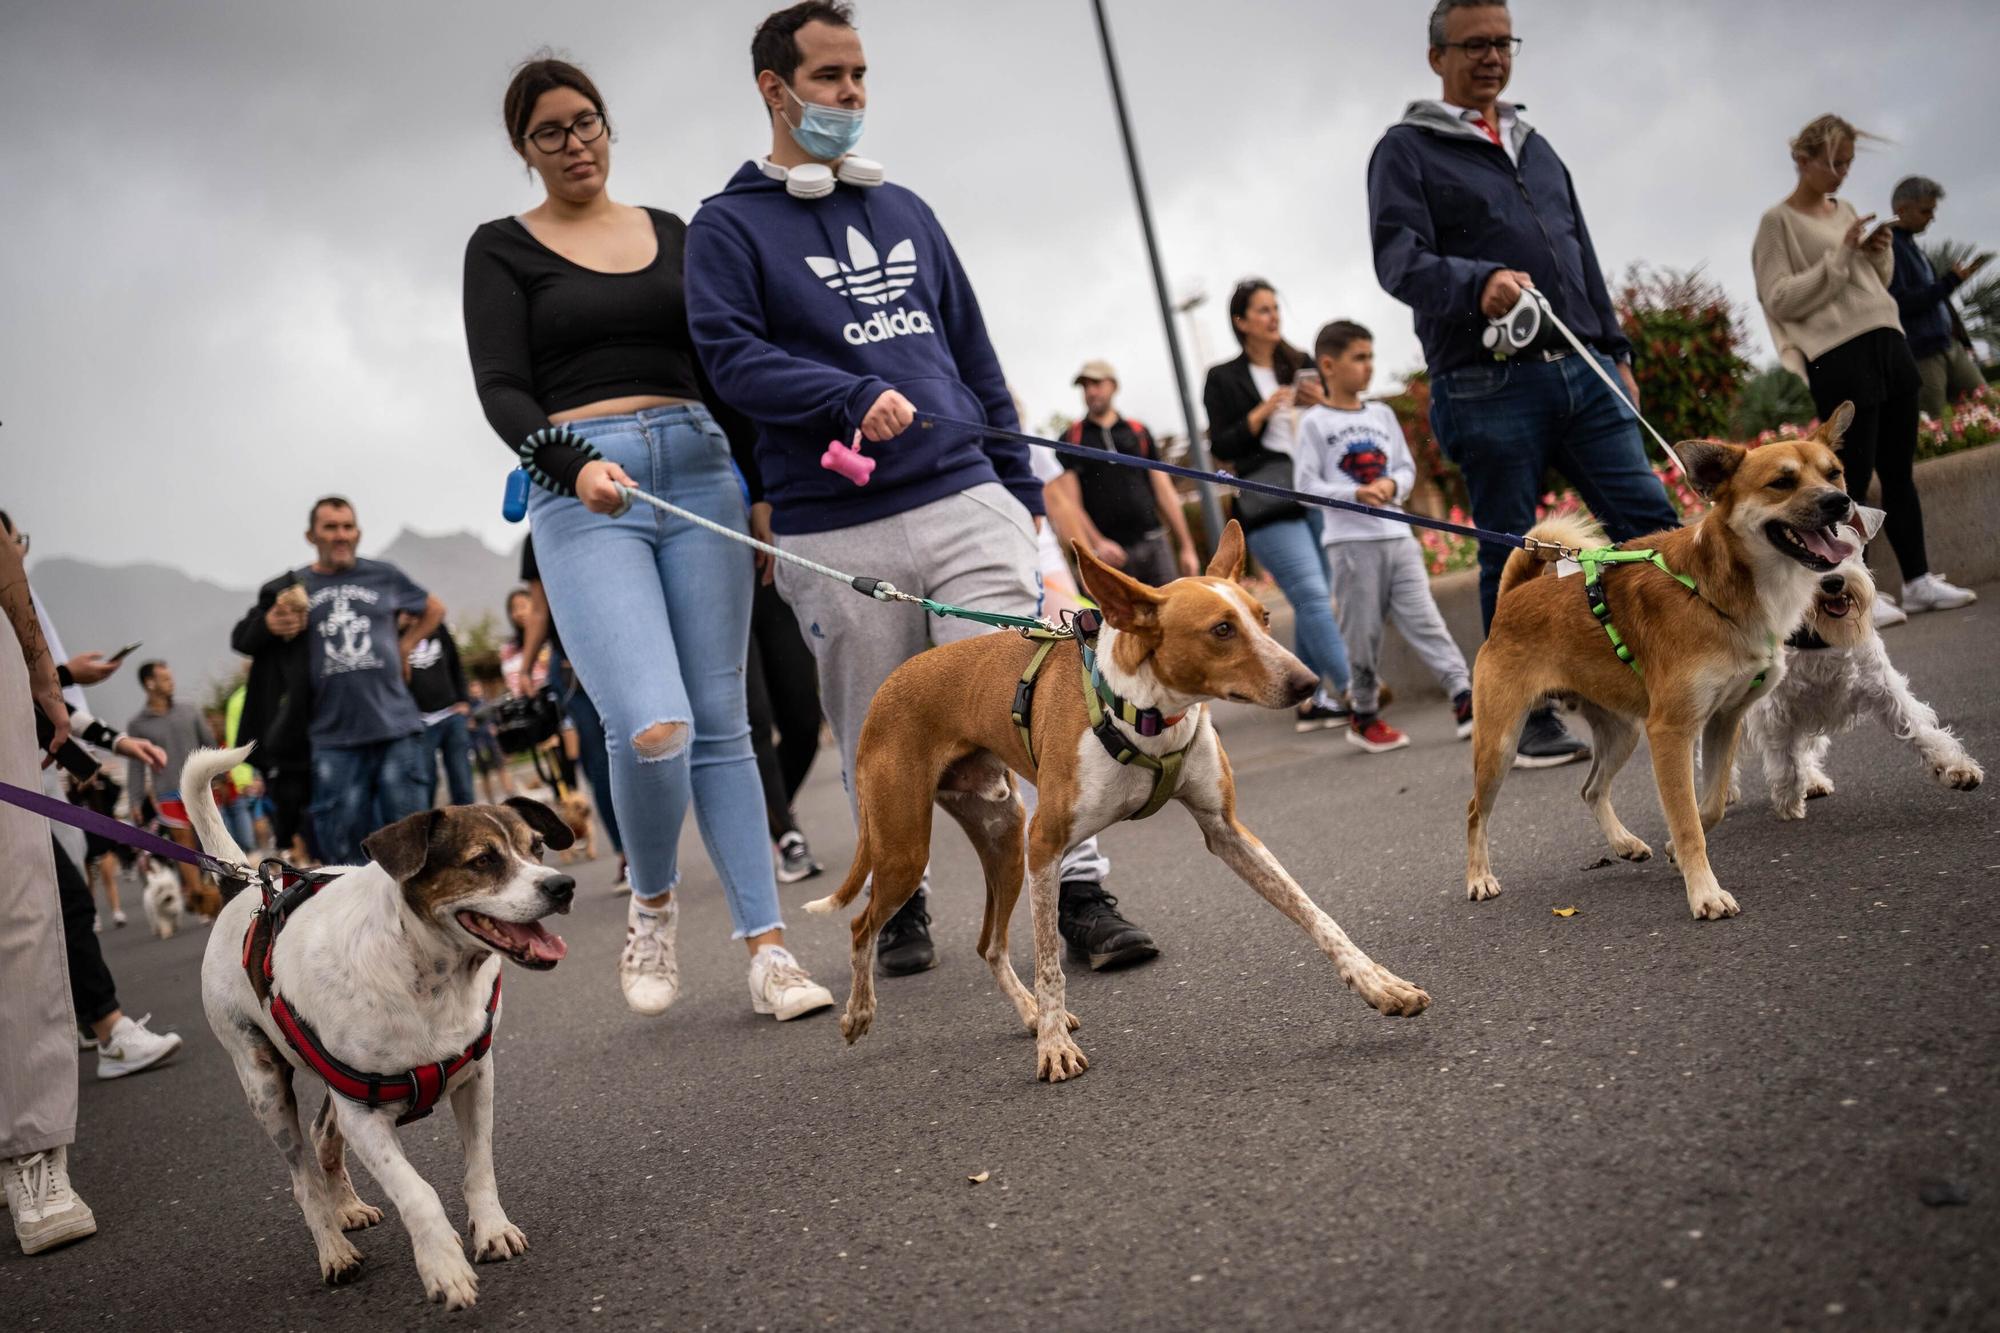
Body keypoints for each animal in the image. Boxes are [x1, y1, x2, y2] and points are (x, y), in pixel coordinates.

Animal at [183, 748, 580, 1304]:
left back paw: (347, 1207)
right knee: (302, 1176)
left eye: (537, 847)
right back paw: (334, 1250)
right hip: (264, 1085)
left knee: (323, 1134)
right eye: (482, 860)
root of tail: (243, 891)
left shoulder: (477, 1079)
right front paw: (443, 1266)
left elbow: (479, 1167)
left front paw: (492, 1228)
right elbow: (418, 1193)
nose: (562, 886)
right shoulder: (364, 1117)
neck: (429, 976)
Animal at [804, 520, 1432, 1080]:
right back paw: (861, 1012)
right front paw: (1054, 1050)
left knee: (989, 944)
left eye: (1264, 618)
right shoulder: (1046, 845)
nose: (1307, 684)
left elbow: (1314, 913)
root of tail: (889, 684)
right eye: (1221, 630)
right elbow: (1050, 964)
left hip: (1004, 838)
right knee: (861, 925)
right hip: (912, 849)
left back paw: (1029, 1014)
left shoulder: (1226, 829)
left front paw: (1379, 984)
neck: (1146, 711)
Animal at [1464, 404, 1864, 920]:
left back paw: (1625, 843)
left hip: (1623, 732)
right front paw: (1705, 892)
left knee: (1591, 789)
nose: (1839, 501)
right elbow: (1689, 817)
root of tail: (1515, 597)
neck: (1719, 589)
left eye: (1834, 472)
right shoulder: (1670, 732)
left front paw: (1679, 853)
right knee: (1476, 811)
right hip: (1500, 744)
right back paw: (1479, 877)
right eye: (1782, 482)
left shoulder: (1724, 719)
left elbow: (1708, 807)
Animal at [1736, 556, 1984, 816]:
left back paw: (1813, 782)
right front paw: (1789, 800)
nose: (1833, 582)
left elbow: (1916, 726)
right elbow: (1784, 756)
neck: (1819, 639)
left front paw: (1956, 768)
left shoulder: (1882, 685)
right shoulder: (1774, 709)